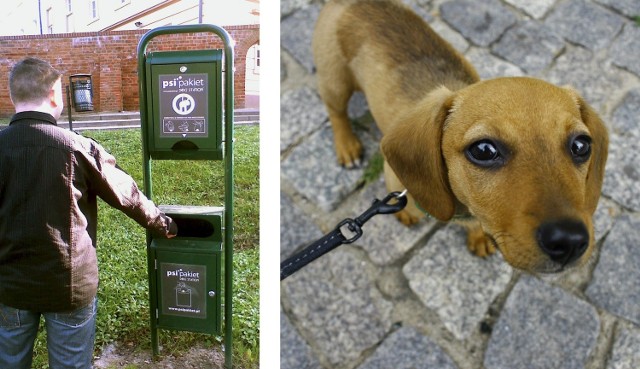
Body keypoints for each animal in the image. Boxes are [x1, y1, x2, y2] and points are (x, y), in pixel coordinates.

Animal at [312, 0, 608, 272]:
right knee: (336, 111)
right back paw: (347, 146)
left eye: (581, 145)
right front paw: (407, 213)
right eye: (484, 150)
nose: (570, 241)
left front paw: (479, 236)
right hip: (335, 82)